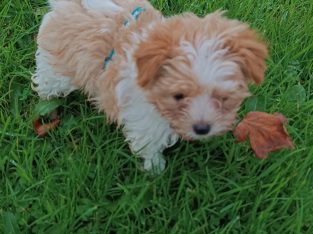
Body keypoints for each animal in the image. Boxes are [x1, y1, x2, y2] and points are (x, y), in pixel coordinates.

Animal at [31, 0, 266, 172]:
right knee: (47, 83)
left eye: (222, 98)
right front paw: (155, 168)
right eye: (178, 96)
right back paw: (48, 105)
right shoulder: (145, 118)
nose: (202, 129)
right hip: (57, 69)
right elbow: (149, 144)